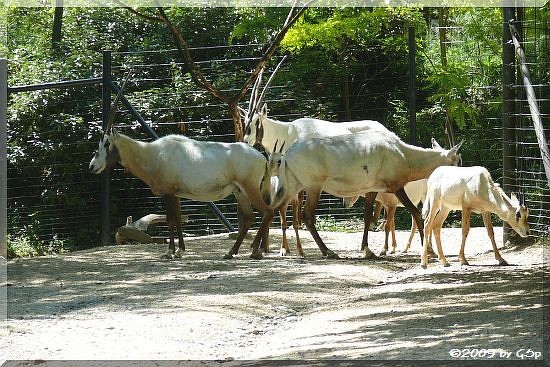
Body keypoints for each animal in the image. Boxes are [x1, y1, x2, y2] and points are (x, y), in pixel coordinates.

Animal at [266, 129, 464, 258]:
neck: (402, 154)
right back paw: (328, 252)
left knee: (273, 209)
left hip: (293, 187)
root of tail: (288, 154)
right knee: (306, 216)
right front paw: (429, 251)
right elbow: (416, 214)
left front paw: (367, 250)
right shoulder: (396, 187)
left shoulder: (372, 190)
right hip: (313, 187)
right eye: (458, 161)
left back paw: (261, 250)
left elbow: (368, 217)